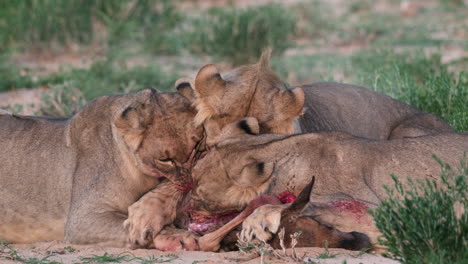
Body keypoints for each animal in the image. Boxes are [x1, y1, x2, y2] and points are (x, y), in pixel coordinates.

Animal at [0, 89, 205, 248]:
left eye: (196, 146)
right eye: (165, 159)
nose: (192, 181)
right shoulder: (81, 219)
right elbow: (127, 225)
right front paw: (177, 236)